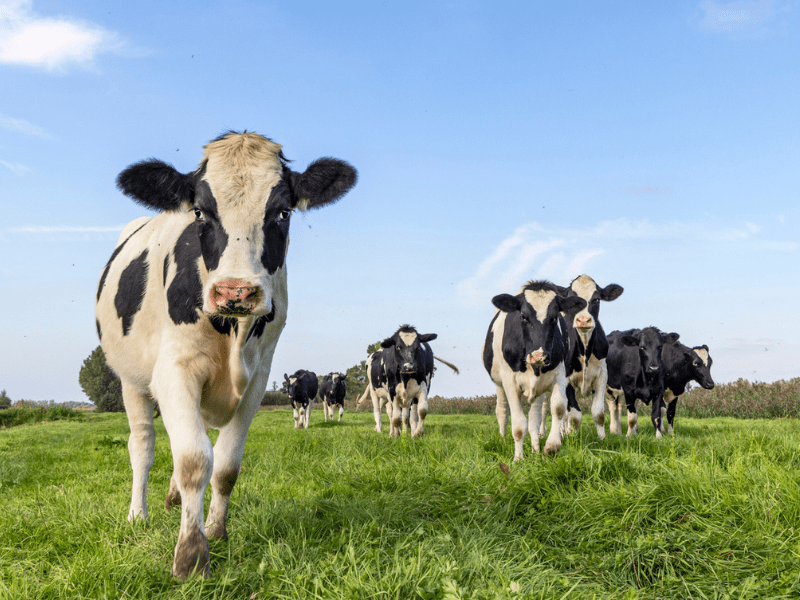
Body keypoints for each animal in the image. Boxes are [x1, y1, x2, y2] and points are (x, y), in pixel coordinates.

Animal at [94, 131, 357, 579]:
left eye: (283, 211)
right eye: (199, 211)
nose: (235, 291)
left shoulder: (258, 379)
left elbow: (227, 464)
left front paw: (215, 530)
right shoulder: (174, 370)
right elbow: (194, 460)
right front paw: (191, 555)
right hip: (132, 381)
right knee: (143, 446)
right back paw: (138, 514)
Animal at [482, 280, 587, 460]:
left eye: (554, 317)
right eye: (523, 316)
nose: (538, 356)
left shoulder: (559, 374)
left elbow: (557, 409)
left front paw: (549, 447)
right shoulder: (509, 382)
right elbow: (518, 425)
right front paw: (518, 459)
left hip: (540, 389)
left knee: (534, 420)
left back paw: (535, 449)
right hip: (499, 384)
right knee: (501, 410)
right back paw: (502, 438)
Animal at [541, 275, 623, 439]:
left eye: (596, 299)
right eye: (572, 300)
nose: (583, 320)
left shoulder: (602, 376)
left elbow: (598, 413)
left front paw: (602, 439)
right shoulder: (566, 378)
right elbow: (575, 416)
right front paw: (572, 438)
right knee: (549, 408)